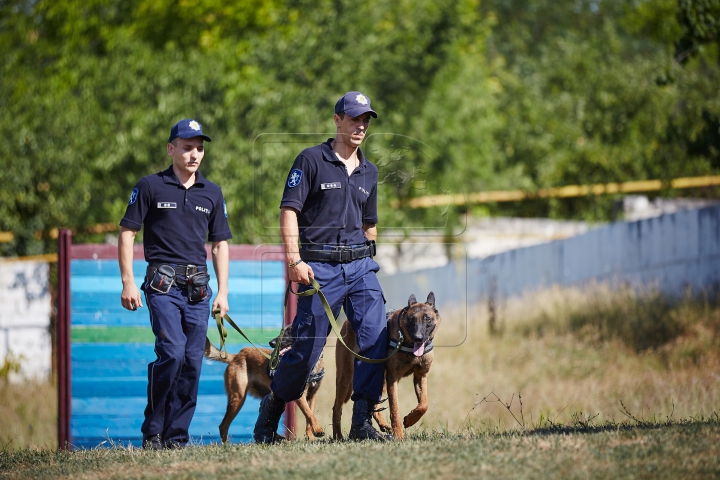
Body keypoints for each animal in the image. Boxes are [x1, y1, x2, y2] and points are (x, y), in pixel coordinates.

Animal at [332, 290, 438, 440]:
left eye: (427, 319)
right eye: (411, 319)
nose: (418, 338)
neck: (407, 342)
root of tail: (348, 321)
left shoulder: (420, 376)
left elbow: (424, 404)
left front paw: (410, 419)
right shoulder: (392, 378)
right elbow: (395, 408)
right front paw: (399, 435)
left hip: (379, 379)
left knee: (373, 404)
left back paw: (382, 425)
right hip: (345, 379)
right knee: (337, 408)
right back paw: (338, 436)